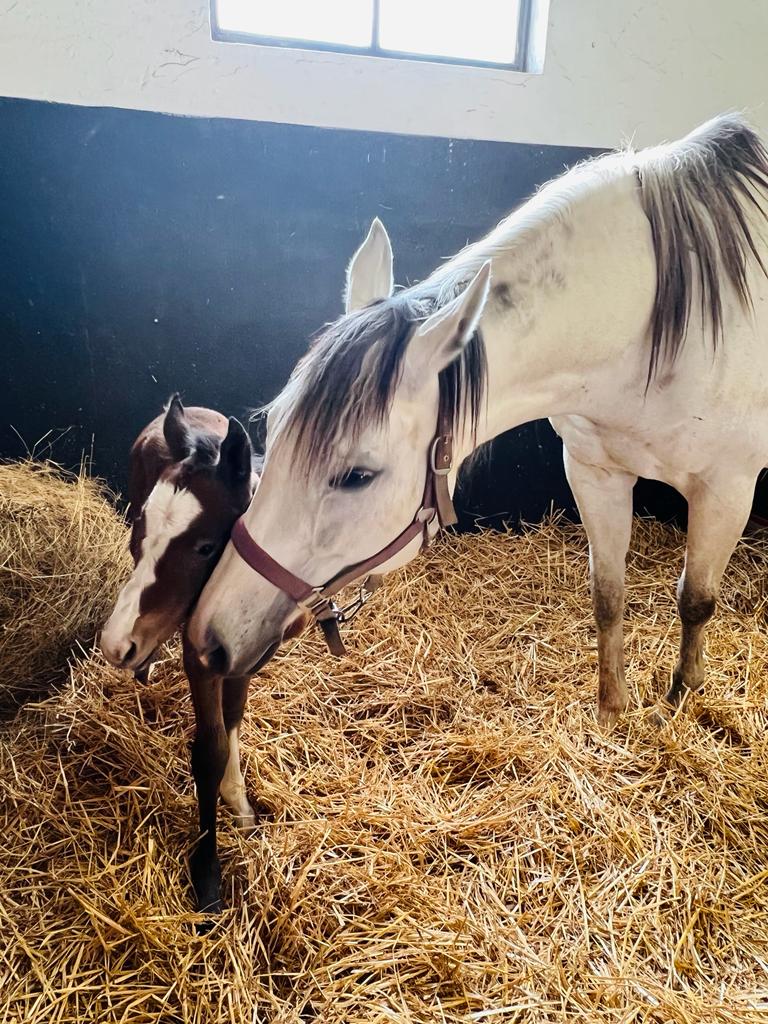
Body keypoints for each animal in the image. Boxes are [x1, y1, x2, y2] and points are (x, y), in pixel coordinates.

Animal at [188, 114, 768, 729]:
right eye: (273, 430)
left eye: (357, 476)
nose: (209, 637)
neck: (649, 321)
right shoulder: (594, 471)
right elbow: (608, 593)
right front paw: (612, 712)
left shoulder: (726, 487)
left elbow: (695, 599)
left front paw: (682, 696)